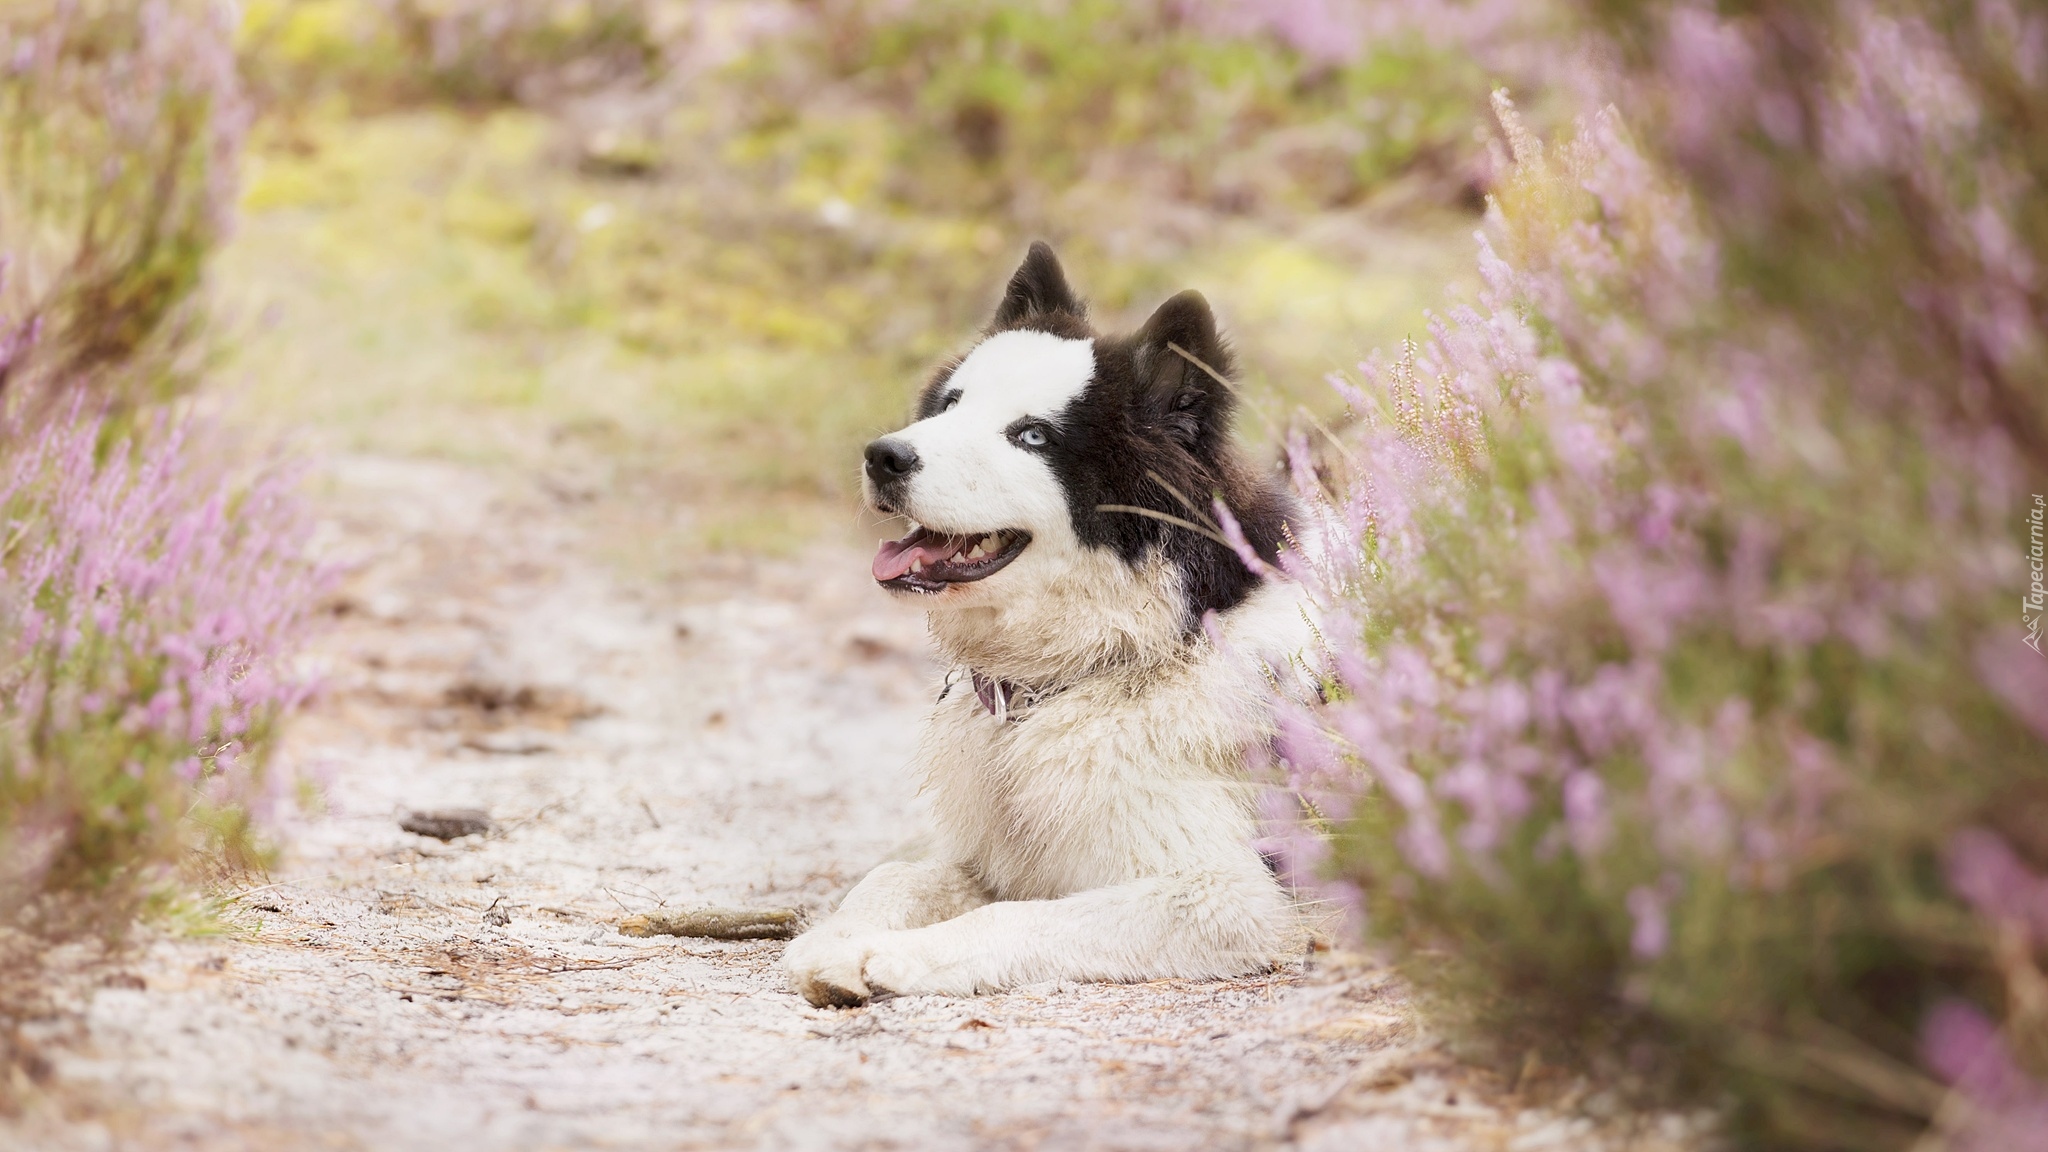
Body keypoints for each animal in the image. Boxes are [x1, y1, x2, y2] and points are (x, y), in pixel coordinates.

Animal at [782, 241, 1310, 1004]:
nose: (884, 456)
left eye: (1031, 436)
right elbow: (897, 874)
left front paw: (890, 956)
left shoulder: (1230, 895)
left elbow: (1010, 915)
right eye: (950, 405)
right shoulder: (993, 854)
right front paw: (834, 939)